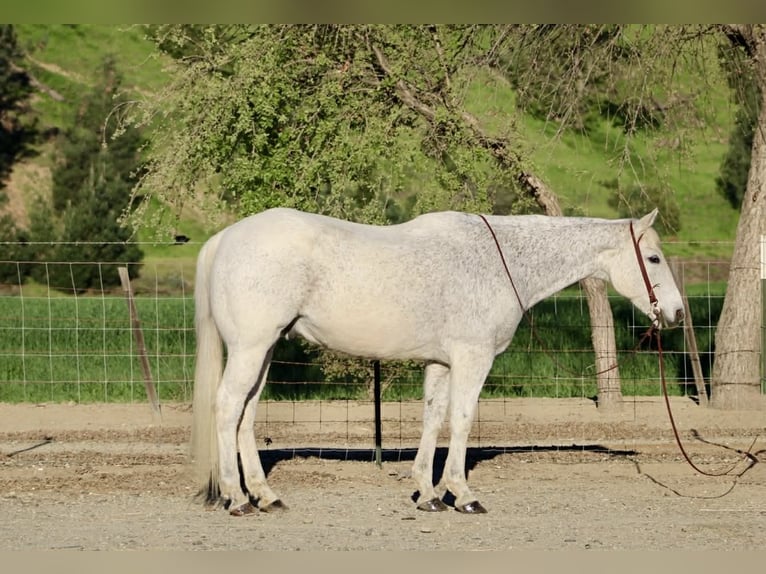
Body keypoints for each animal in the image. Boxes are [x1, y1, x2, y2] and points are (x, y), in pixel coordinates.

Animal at [190, 207, 684, 516]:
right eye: (654, 258)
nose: (677, 313)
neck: (497, 262)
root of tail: (225, 239)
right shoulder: (472, 357)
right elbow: (461, 421)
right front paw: (462, 495)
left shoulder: (441, 363)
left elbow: (432, 420)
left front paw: (428, 493)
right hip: (252, 348)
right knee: (228, 408)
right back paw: (237, 499)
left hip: (265, 350)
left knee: (246, 415)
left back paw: (265, 495)